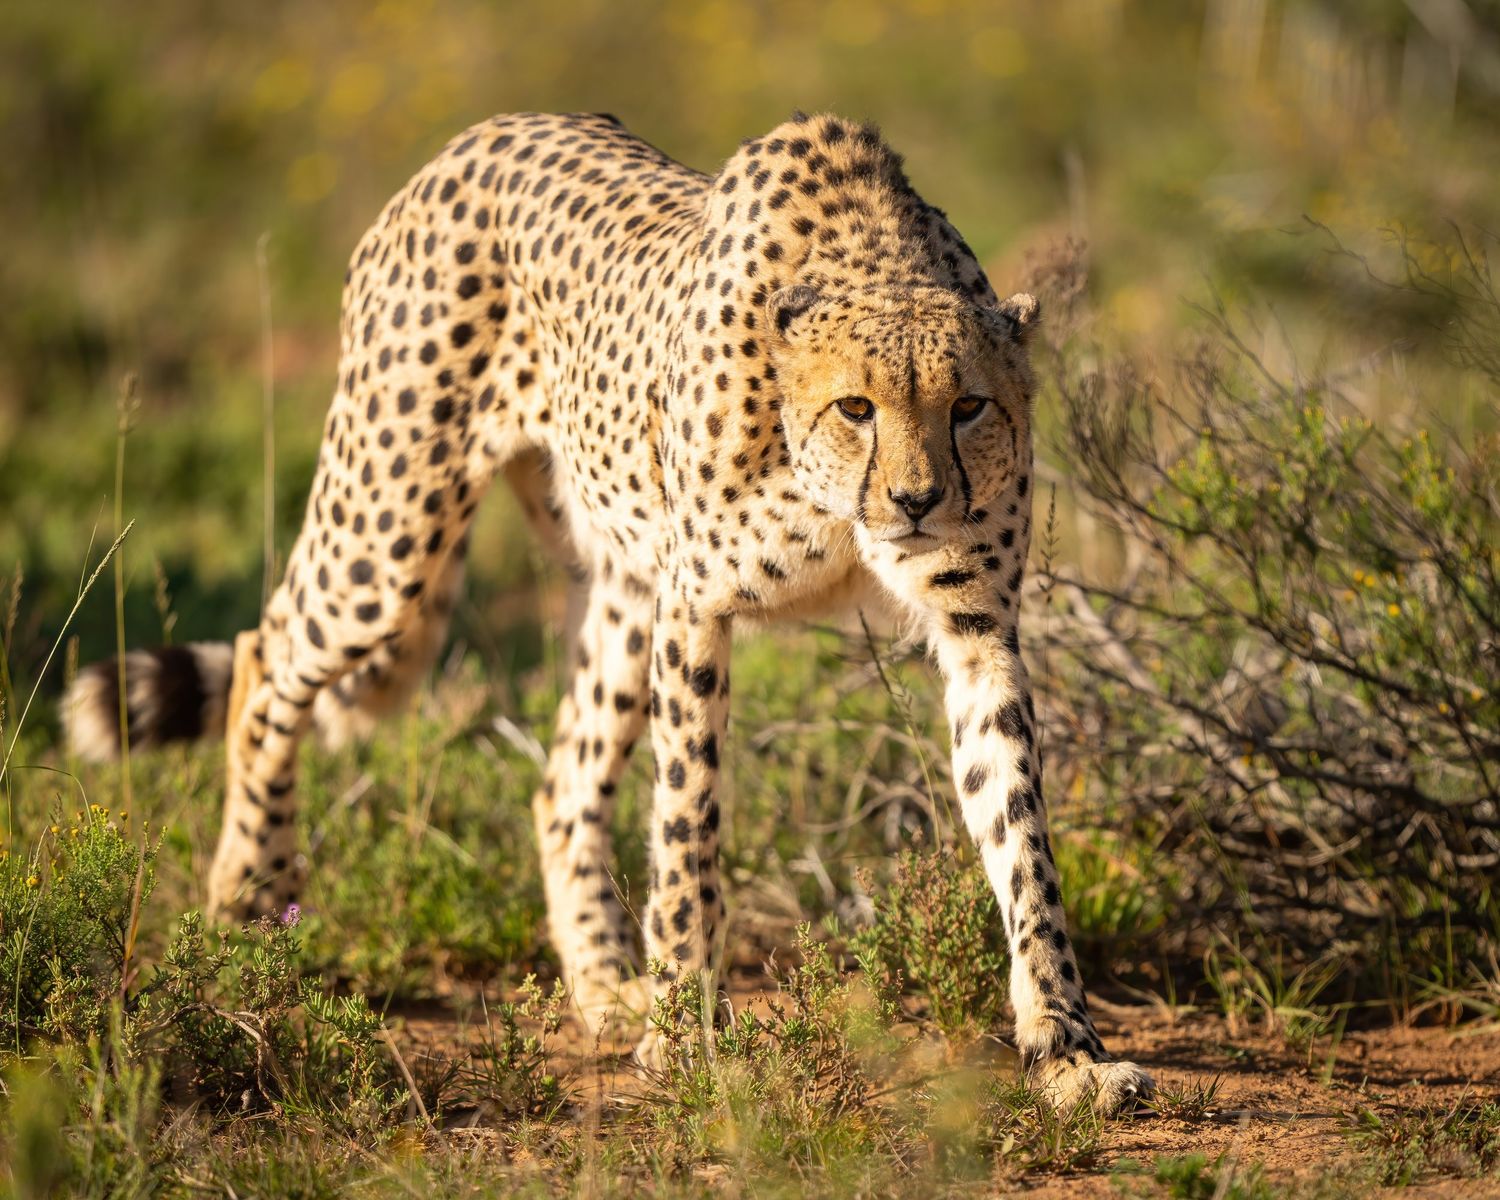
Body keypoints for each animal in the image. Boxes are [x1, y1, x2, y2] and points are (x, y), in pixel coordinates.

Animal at [64, 110, 1153, 1113]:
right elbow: (687, 826)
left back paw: (601, 985)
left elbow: (1022, 838)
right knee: (265, 655)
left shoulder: (975, 632)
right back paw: (249, 901)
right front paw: (684, 1041)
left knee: (560, 785)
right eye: (857, 407)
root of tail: (477, 135)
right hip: (389, 535)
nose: (919, 501)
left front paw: (1067, 1049)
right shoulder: (695, 608)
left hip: (618, 590)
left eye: (969, 406)